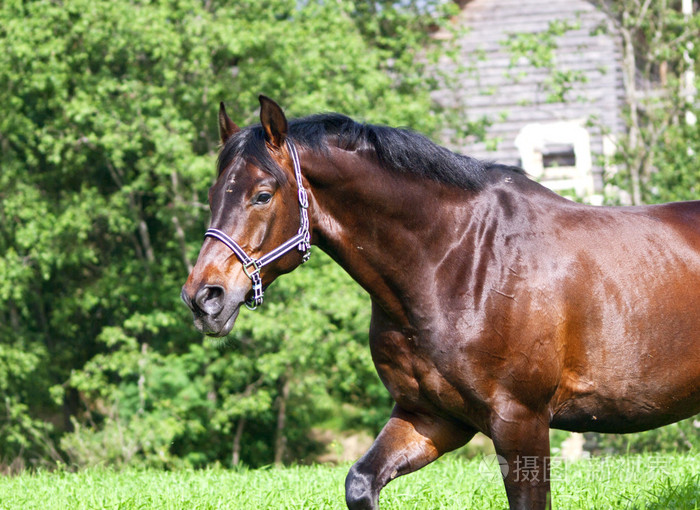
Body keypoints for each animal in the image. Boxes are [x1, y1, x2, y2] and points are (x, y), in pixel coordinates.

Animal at [182, 96, 700, 510]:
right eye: (212, 194)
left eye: (262, 195)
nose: (203, 297)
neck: (460, 260)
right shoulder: (429, 417)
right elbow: (360, 482)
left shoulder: (522, 422)